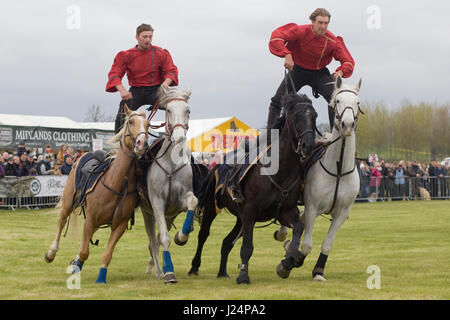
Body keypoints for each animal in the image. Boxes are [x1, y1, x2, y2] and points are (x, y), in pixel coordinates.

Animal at [45, 106, 149, 284]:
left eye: (148, 124)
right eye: (130, 121)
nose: (141, 143)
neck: (117, 183)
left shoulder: (120, 225)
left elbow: (107, 254)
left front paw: (101, 277)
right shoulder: (91, 219)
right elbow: (84, 251)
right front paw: (76, 264)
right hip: (68, 203)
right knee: (61, 222)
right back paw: (51, 253)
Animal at [140, 86, 198, 284]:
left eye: (188, 110)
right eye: (169, 110)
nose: (178, 137)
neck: (171, 163)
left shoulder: (181, 201)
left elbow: (193, 202)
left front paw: (182, 236)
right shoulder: (157, 202)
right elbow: (164, 238)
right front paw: (169, 273)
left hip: (170, 215)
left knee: (156, 239)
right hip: (147, 212)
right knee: (153, 240)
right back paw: (159, 270)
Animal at [188, 93, 318, 284]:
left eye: (314, 116)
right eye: (297, 116)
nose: (308, 146)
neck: (279, 171)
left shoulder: (285, 212)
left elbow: (299, 227)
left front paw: (290, 258)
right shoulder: (250, 211)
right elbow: (247, 247)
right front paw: (243, 276)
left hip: (240, 218)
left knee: (226, 242)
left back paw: (222, 272)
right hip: (214, 207)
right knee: (203, 235)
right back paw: (194, 267)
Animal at [274, 76, 362, 282]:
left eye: (357, 103)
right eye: (337, 101)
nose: (347, 125)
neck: (338, 169)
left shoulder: (341, 213)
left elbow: (327, 244)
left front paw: (318, 270)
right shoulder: (313, 207)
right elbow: (306, 245)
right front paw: (288, 263)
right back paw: (283, 236)